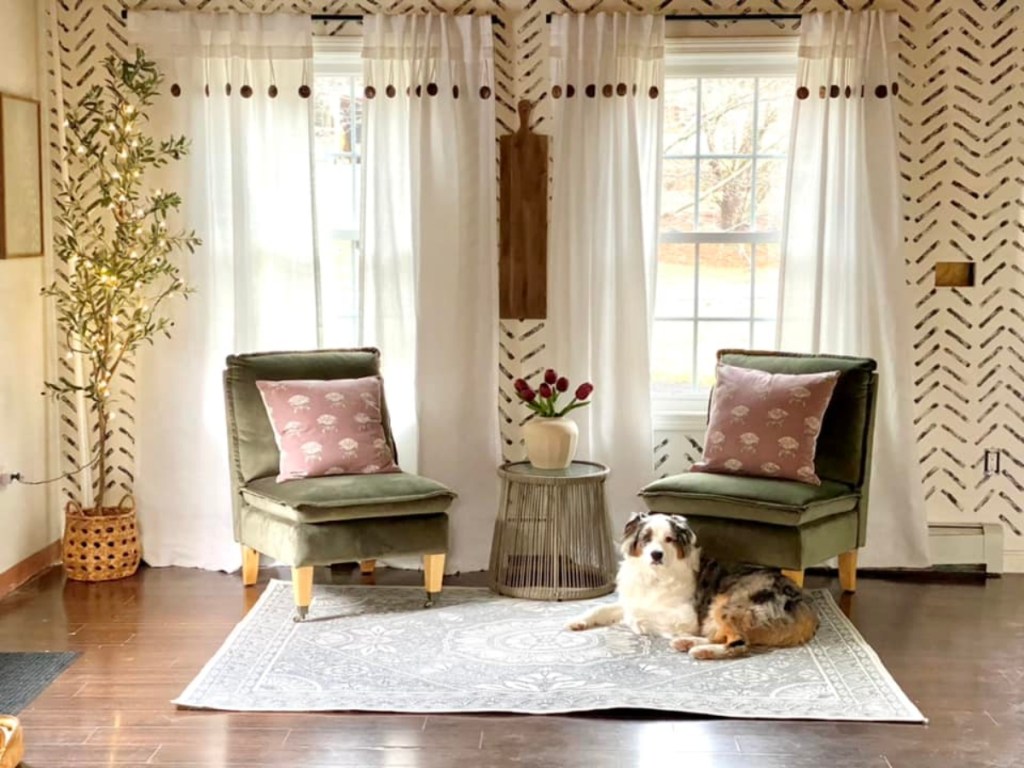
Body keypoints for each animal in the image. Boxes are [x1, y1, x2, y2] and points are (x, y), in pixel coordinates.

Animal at [569, 512, 815, 663]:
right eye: (646, 538)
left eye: (669, 539)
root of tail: (805, 609)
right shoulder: (631, 599)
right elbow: (602, 608)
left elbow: (641, 616)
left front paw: (637, 623)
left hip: (727, 603)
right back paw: (686, 642)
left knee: (738, 643)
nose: (656, 555)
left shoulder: (687, 618)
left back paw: (698, 649)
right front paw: (577, 621)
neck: (654, 575)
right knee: (721, 636)